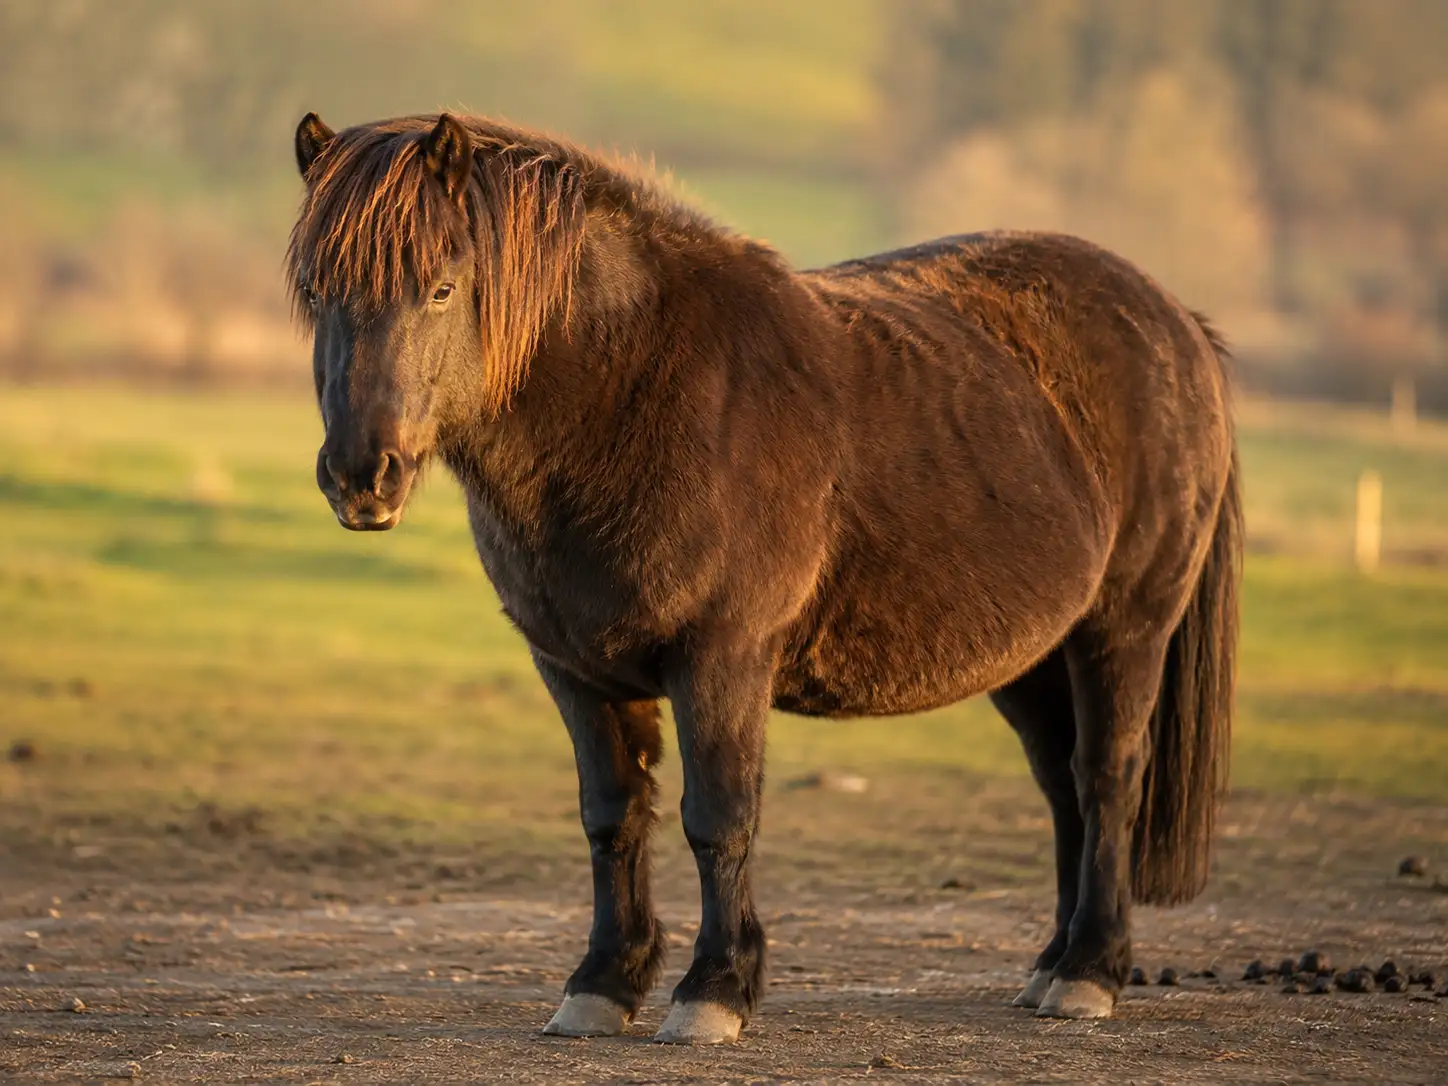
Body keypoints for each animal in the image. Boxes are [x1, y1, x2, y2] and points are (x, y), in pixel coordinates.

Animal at [287, 110, 1241, 1044]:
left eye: (442, 289)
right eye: (320, 297)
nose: (362, 477)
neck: (639, 394)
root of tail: (1176, 323)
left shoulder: (722, 659)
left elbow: (718, 819)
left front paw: (714, 992)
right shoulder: (574, 670)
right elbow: (611, 816)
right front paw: (602, 985)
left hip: (1124, 630)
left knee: (1107, 776)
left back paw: (1089, 972)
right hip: (1034, 658)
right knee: (1062, 786)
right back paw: (1049, 964)